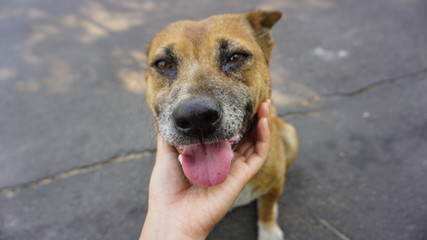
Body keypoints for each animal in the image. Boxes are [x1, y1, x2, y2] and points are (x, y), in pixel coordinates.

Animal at [145, 10, 300, 239]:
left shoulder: (276, 181)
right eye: (163, 64)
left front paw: (269, 229)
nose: (196, 117)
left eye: (236, 57)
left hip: (290, 134)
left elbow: (267, 206)